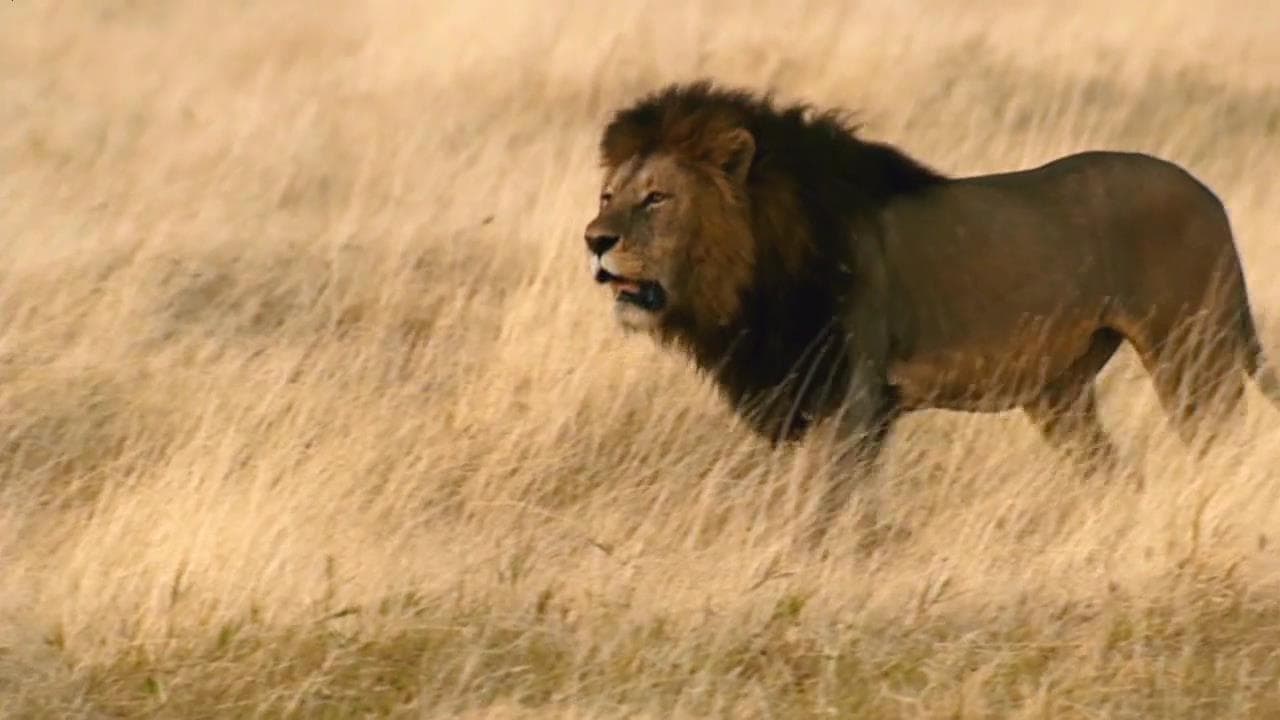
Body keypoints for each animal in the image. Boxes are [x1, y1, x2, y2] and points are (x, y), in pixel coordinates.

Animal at [582, 81, 1280, 546]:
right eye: (608, 195)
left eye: (657, 198)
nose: (594, 240)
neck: (754, 262)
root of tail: (1210, 196)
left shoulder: (852, 394)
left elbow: (820, 507)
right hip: (1062, 394)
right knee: (1118, 475)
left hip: (1191, 356)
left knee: (1218, 447)